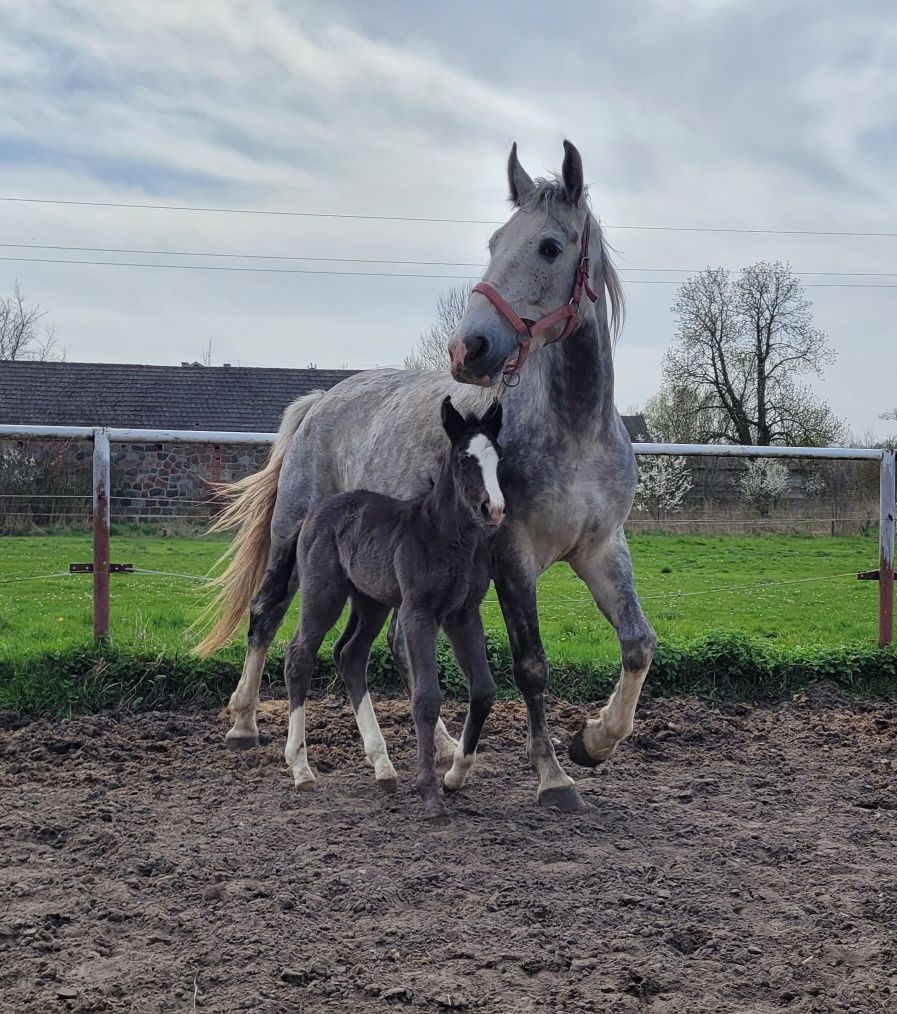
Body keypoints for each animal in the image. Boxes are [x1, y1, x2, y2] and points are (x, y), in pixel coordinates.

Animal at [199, 138, 652, 811]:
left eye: (549, 246)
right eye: (495, 241)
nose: (470, 348)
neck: (574, 430)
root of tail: (320, 401)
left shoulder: (601, 549)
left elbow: (637, 644)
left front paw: (593, 742)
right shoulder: (513, 556)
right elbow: (531, 665)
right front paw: (552, 776)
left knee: (384, 646)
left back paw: (434, 747)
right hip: (293, 539)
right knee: (266, 612)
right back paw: (245, 723)